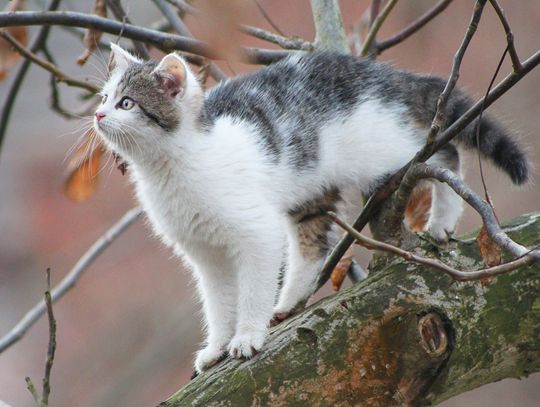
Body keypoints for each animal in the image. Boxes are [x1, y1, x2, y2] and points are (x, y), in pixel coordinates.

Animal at [92, 43, 528, 372]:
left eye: (127, 103)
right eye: (105, 98)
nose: (97, 114)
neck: (172, 167)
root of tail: (374, 72)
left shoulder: (256, 231)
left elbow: (252, 288)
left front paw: (247, 337)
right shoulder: (204, 253)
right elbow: (217, 302)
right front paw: (216, 346)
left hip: (384, 153)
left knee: (443, 154)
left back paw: (441, 220)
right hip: (310, 190)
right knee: (312, 244)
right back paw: (289, 301)